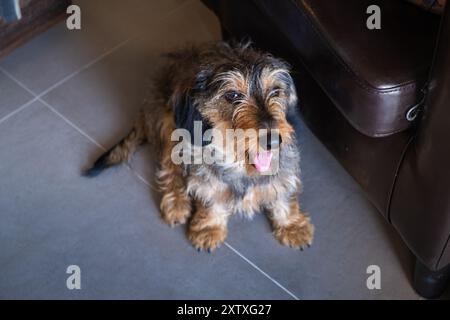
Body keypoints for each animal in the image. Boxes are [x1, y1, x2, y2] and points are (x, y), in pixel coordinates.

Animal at [86, 41, 314, 251]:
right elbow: (209, 194)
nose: (273, 141)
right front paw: (209, 227)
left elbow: (284, 192)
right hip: (168, 124)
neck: (239, 166)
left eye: (275, 91)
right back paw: (176, 203)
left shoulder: (284, 165)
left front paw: (292, 225)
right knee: (168, 167)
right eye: (233, 95)